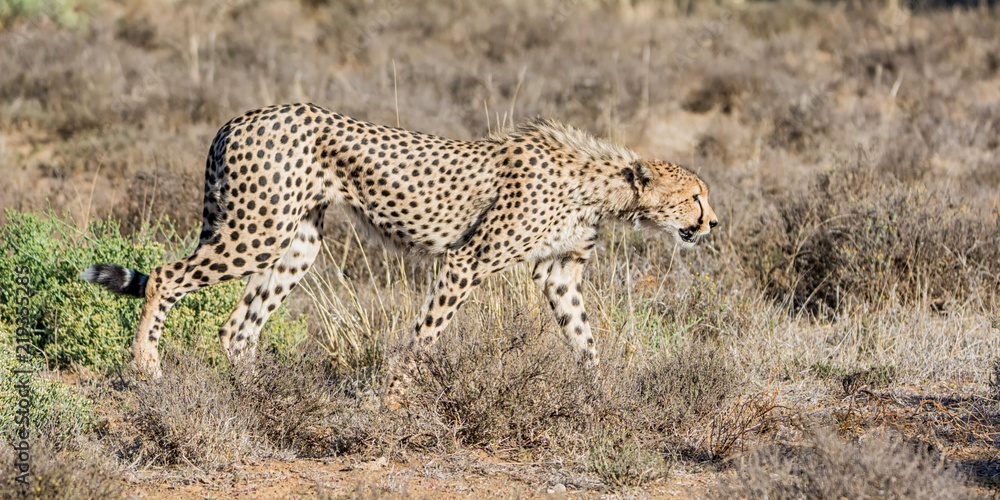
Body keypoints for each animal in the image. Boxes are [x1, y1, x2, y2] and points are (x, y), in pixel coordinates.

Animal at [82, 103, 718, 390]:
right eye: (695, 196)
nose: (712, 224)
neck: (601, 184)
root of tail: (242, 117)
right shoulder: (467, 260)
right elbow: (425, 336)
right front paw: (392, 396)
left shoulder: (557, 273)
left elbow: (584, 338)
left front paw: (602, 392)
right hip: (254, 231)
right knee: (167, 276)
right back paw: (146, 365)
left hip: (297, 245)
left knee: (237, 326)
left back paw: (257, 392)